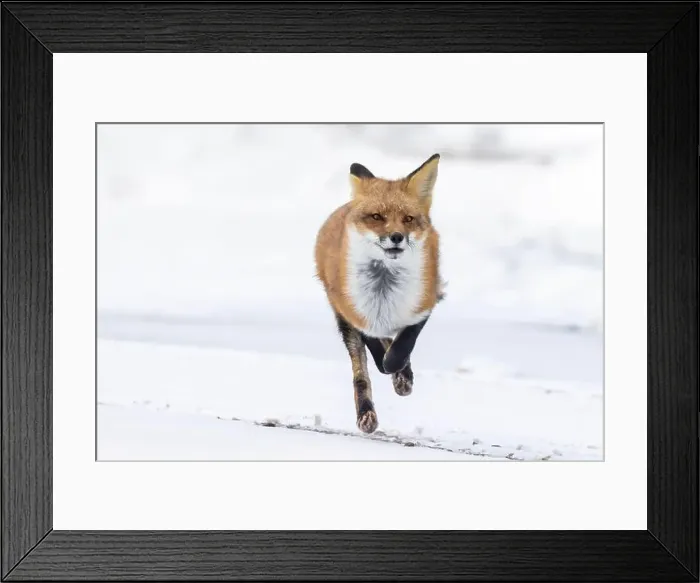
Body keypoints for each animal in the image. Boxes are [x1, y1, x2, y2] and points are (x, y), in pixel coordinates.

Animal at [314, 153, 444, 434]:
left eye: (408, 219)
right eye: (376, 216)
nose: (396, 237)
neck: (384, 291)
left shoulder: (423, 304)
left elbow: (402, 347)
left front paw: (400, 372)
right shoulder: (353, 313)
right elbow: (371, 360)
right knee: (364, 366)